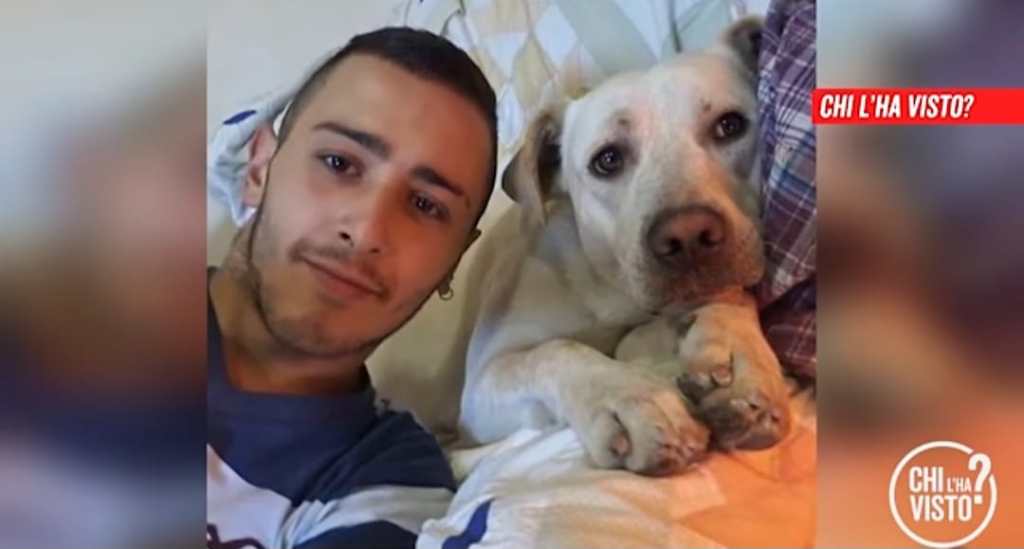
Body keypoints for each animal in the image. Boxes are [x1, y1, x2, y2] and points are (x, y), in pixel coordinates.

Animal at [455, 17, 791, 476]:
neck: (611, 290)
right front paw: (630, 398)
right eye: (608, 160)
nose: (688, 237)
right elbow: (554, 351)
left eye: (730, 125)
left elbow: (730, 295)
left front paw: (738, 361)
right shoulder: (482, 384)